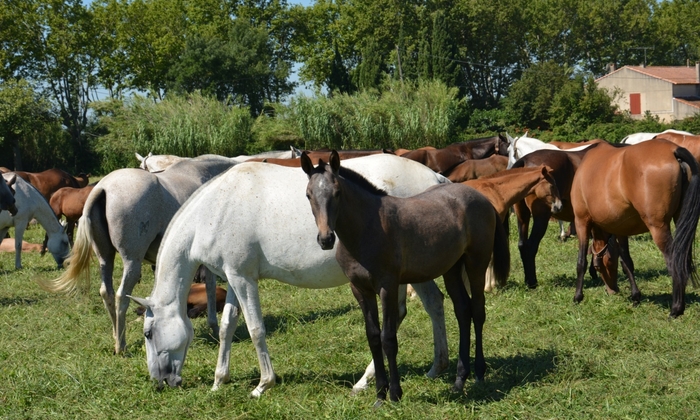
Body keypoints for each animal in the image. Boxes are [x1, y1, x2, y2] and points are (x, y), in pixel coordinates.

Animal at [44, 154, 241, 354]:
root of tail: (102, 187)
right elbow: (210, 288)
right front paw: (214, 326)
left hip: (105, 259)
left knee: (107, 293)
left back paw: (116, 334)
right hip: (132, 263)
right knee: (121, 296)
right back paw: (121, 345)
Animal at [129, 155, 452, 398]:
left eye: (148, 333)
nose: (159, 380)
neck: (215, 210)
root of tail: (437, 179)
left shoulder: (244, 280)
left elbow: (256, 328)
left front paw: (263, 384)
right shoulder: (235, 277)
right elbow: (227, 326)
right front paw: (219, 380)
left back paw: (371, 379)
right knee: (433, 304)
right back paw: (432, 368)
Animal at [300, 151, 508, 404]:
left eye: (337, 192)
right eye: (308, 194)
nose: (326, 239)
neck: (366, 230)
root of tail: (483, 199)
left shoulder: (387, 287)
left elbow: (388, 338)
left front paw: (394, 393)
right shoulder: (360, 289)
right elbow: (373, 337)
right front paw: (379, 394)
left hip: (476, 263)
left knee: (477, 311)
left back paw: (478, 373)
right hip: (451, 269)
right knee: (462, 310)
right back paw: (459, 380)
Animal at [572, 139, 700, 316]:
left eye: (603, 264)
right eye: (611, 262)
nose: (613, 290)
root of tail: (674, 150)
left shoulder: (581, 221)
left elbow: (581, 262)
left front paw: (577, 297)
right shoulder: (621, 229)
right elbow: (627, 262)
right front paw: (635, 296)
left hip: (658, 228)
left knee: (674, 261)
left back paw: (676, 308)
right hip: (681, 221)